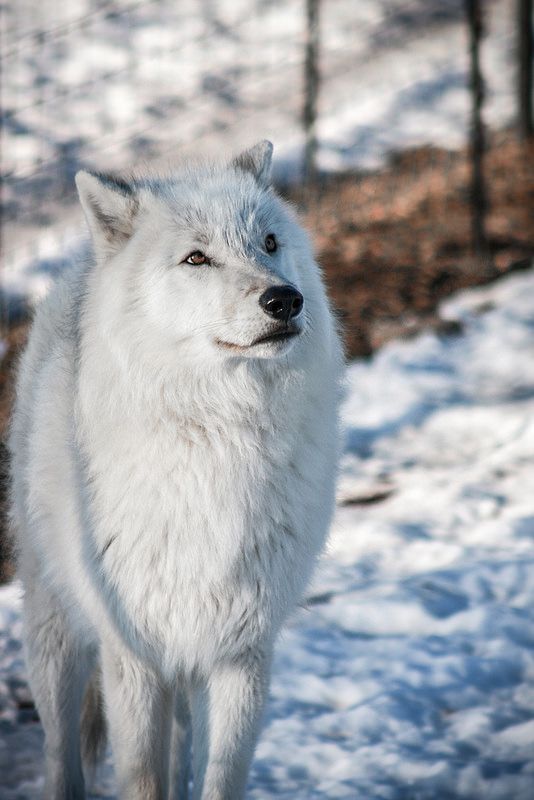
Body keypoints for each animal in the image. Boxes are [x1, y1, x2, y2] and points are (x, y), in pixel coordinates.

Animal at [9, 141, 343, 799]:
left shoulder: (241, 652)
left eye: (269, 242)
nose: (284, 299)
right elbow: (141, 776)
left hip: (186, 672)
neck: (220, 440)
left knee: (183, 751)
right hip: (57, 633)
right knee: (63, 753)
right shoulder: (134, 656)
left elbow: (219, 776)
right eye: (197, 258)